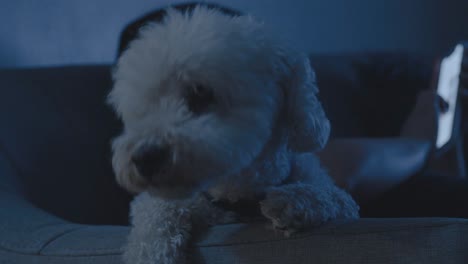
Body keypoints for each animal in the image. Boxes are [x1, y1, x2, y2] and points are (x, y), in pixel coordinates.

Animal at [108, 4, 360, 264]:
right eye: (143, 108)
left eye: (201, 94)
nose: (143, 158)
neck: (236, 198)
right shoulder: (162, 204)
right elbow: (155, 216)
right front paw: (151, 252)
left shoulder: (342, 202)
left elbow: (331, 196)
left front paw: (293, 200)